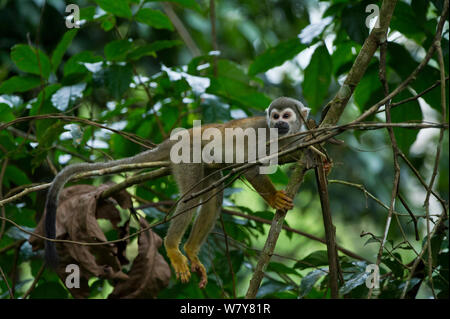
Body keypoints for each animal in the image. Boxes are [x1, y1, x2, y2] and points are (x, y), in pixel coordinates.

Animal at [44, 96, 312, 288]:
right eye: (275, 116)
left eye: (286, 115)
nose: (278, 123)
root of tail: (180, 137)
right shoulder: (262, 135)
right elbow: (252, 169)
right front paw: (274, 197)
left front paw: (313, 158)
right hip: (188, 156)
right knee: (189, 199)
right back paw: (172, 246)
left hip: (206, 163)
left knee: (213, 197)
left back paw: (191, 250)